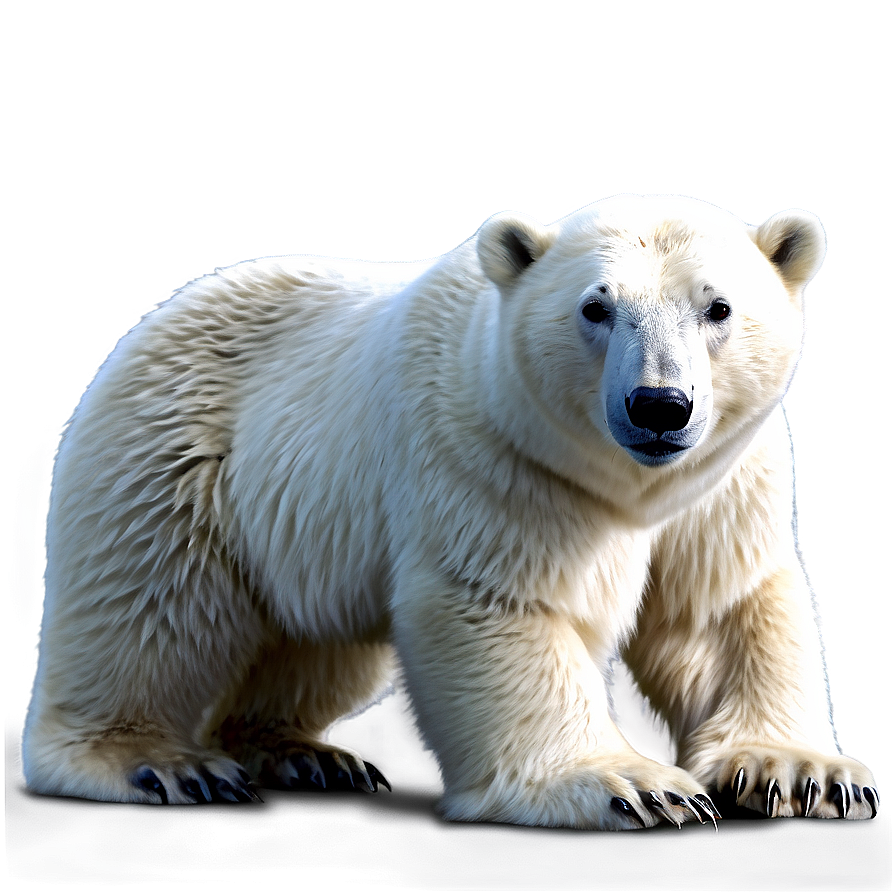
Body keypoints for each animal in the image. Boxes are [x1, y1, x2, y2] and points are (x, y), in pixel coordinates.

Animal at [22, 194, 880, 829]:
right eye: (596, 308)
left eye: (718, 307)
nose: (660, 406)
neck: (627, 482)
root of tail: (159, 315)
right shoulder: (492, 454)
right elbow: (504, 605)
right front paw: (632, 785)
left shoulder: (723, 481)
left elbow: (717, 612)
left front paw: (804, 774)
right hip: (175, 451)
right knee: (150, 606)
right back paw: (155, 763)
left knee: (312, 640)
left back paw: (304, 752)